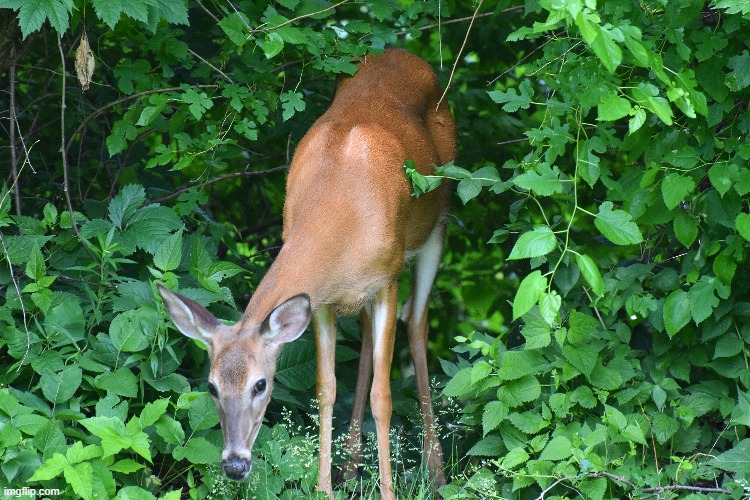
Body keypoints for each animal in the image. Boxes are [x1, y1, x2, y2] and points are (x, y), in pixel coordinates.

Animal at [157, 47, 458, 500]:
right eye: (211, 386)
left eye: (260, 384)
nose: (234, 465)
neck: (340, 207)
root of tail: (401, 52)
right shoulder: (322, 299)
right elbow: (325, 388)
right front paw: (325, 488)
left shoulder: (387, 279)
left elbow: (383, 396)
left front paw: (387, 491)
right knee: (366, 338)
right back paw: (351, 469)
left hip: (437, 226)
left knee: (417, 323)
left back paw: (436, 473)